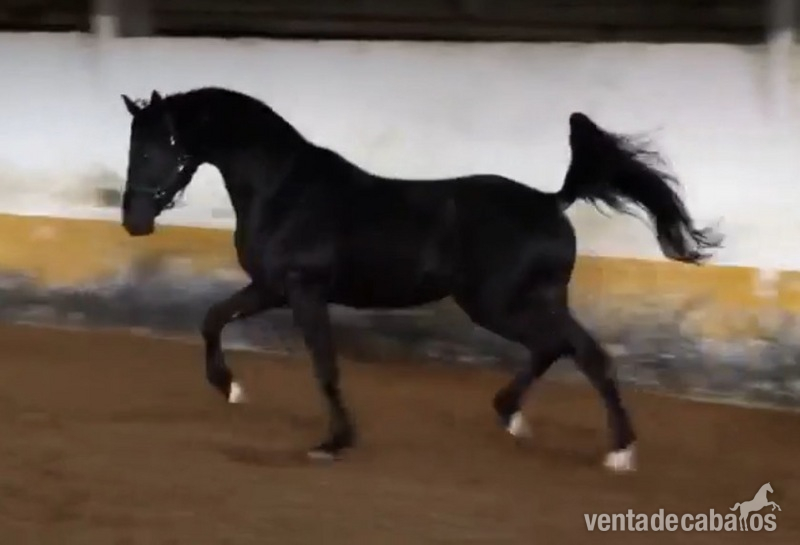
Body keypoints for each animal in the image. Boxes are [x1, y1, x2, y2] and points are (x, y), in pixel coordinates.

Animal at [119, 87, 721, 471]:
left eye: (153, 149)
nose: (133, 220)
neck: (284, 189)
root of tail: (553, 201)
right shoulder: (271, 288)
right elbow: (212, 318)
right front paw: (230, 387)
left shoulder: (302, 290)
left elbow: (324, 366)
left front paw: (334, 442)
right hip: (522, 301)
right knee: (558, 348)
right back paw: (512, 417)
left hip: (500, 303)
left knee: (584, 353)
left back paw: (618, 452)